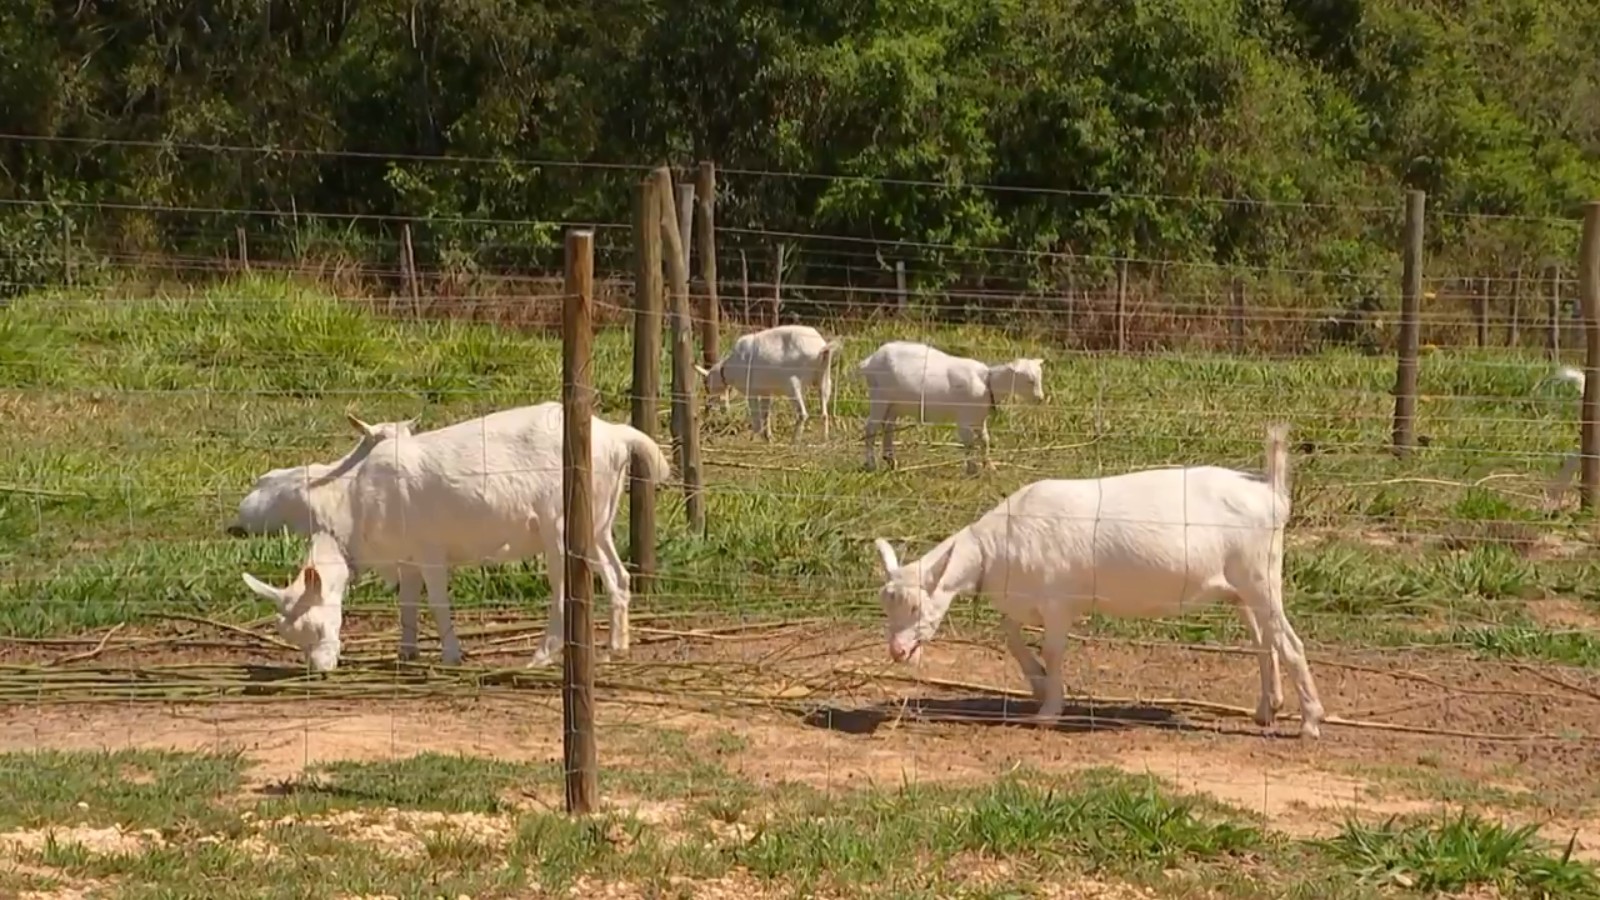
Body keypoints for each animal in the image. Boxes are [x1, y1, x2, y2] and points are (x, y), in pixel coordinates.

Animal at [876, 419, 1324, 736]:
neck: (995, 545)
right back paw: (1268, 709)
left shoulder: (1058, 601)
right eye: (887, 605)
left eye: (916, 605)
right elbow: (1010, 634)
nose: (897, 651)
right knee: (1265, 642)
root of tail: (1271, 494)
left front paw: (1049, 711)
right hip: (1241, 589)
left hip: (1260, 576)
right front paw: (1037, 684)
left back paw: (1310, 722)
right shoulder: (1024, 598)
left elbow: (1054, 650)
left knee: (1290, 643)